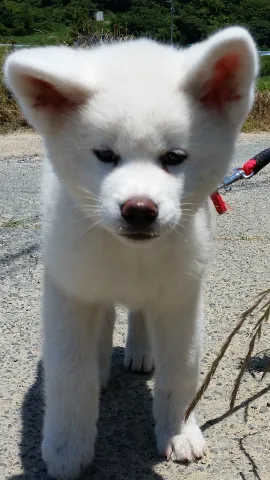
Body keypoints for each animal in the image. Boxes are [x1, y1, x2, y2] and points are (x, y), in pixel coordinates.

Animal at [4, 27, 258, 480]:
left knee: (139, 311)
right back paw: (102, 364)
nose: (139, 209)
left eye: (174, 157)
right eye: (105, 155)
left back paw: (140, 351)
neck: (130, 254)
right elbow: (70, 377)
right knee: (104, 319)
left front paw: (179, 432)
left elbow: (180, 372)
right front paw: (66, 448)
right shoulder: (70, 291)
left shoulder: (180, 296)